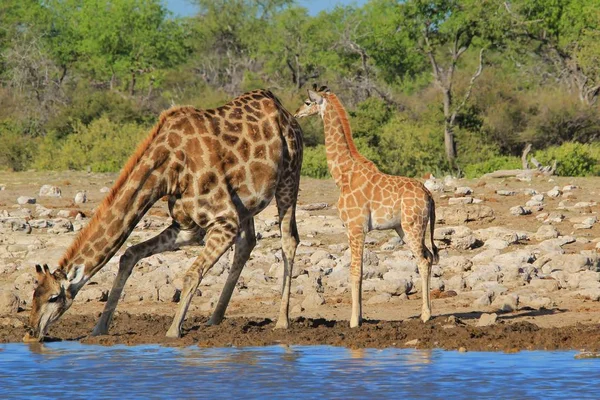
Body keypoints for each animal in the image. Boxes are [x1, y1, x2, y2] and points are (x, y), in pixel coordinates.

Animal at [25, 88, 302, 340]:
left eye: (53, 297)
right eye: (33, 294)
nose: (30, 332)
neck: (167, 169)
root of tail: (284, 110)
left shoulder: (224, 221)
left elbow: (190, 274)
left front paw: (172, 332)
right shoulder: (187, 227)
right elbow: (129, 254)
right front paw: (99, 329)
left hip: (289, 177)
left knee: (289, 240)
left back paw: (282, 322)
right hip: (246, 204)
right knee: (247, 243)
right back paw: (214, 320)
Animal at [294, 86, 438, 326]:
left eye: (307, 102)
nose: (296, 114)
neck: (342, 175)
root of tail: (429, 194)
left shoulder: (355, 227)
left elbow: (355, 271)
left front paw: (354, 321)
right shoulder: (352, 229)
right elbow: (359, 270)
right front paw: (359, 316)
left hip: (413, 225)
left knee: (424, 260)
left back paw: (426, 315)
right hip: (403, 228)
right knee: (427, 256)